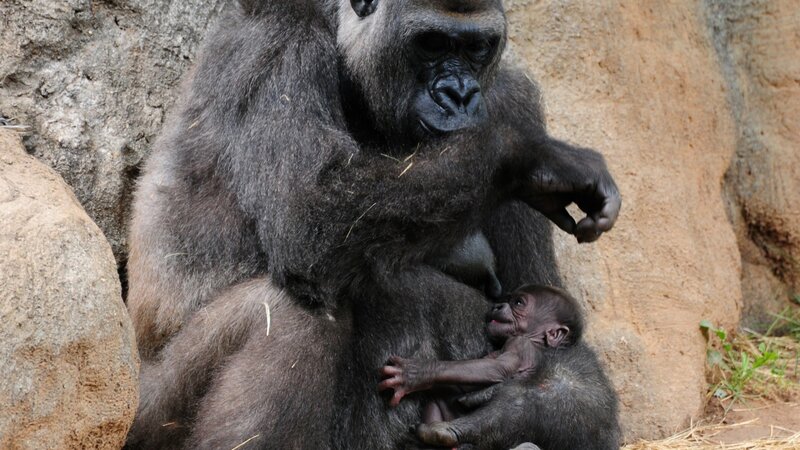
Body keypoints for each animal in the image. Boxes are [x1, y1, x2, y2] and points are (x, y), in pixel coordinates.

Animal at [378, 285, 620, 449]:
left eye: (519, 303)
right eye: (509, 299)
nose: (498, 305)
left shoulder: (519, 344)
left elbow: (498, 369)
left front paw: (418, 373)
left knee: (516, 401)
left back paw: (445, 432)